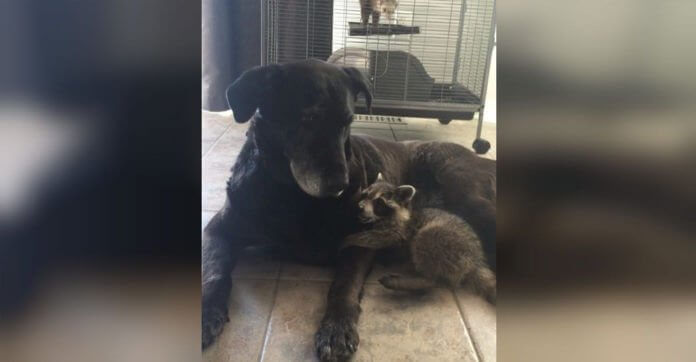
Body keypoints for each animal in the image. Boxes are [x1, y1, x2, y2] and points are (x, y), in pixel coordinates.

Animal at [342, 174, 494, 304]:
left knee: (431, 272)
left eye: (379, 202)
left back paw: (413, 281)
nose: (359, 207)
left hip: (443, 239)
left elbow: (378, 238)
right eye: (365, 195)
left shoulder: (399, 231)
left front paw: (348, 239)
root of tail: (476, 261)